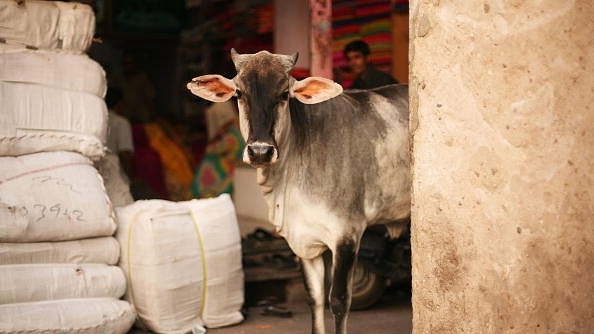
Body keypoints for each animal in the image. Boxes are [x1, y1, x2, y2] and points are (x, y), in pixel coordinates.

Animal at [187, 49, 410, 334]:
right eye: (238, 93)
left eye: (284, 94)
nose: (260, 151)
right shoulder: (303, 241)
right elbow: (315, 298)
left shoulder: (347, 234)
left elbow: (338, 300)